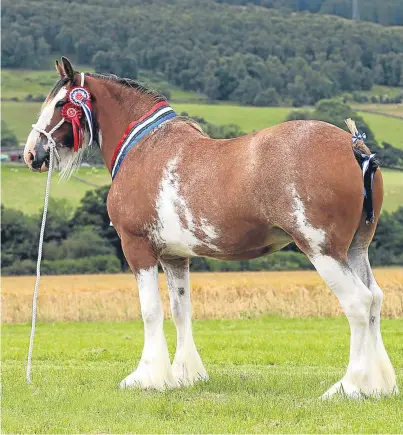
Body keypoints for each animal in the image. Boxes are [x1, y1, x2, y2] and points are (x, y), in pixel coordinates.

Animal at [23, 57, 400, 398]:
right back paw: (378, 385)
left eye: (61, 103)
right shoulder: (174, 256)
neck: (145, 148)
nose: (31, 153)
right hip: (356, 248)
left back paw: (349, 386)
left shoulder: (137, 247)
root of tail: (353, 145)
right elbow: (180, 310)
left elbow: (150, 311)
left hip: (323, 250)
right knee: (375, 300)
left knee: (358, 303)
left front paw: (148, 378)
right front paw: (184, 375)